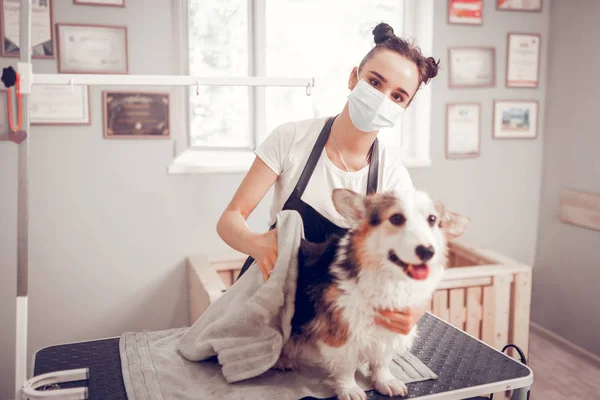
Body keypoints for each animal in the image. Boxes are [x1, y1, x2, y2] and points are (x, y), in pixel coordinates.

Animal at [276, 188, 468, 400]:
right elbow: (346, 366)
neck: (390, 278)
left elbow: (381, 360)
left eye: (432, 219)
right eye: (396, 218)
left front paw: (385, 381)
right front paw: (349, 389)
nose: (427, 251)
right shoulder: (342, 330)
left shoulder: (389, 331)